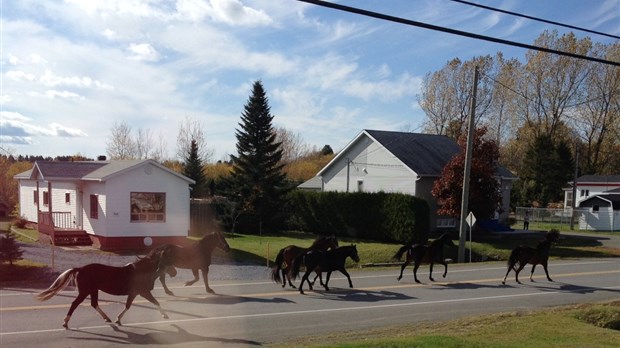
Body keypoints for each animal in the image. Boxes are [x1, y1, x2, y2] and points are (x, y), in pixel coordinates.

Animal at [36, 249, 167, 328]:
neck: (141, 270)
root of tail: (80, 268)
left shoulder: (134, 293)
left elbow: (128, 305)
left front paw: (118, 320)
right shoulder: (143, 291)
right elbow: (155, 301)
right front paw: (165, 315)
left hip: (93, 290)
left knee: (94, 304)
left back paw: (107, 318)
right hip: (85, 291)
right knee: (75, 304)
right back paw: (65, 322)